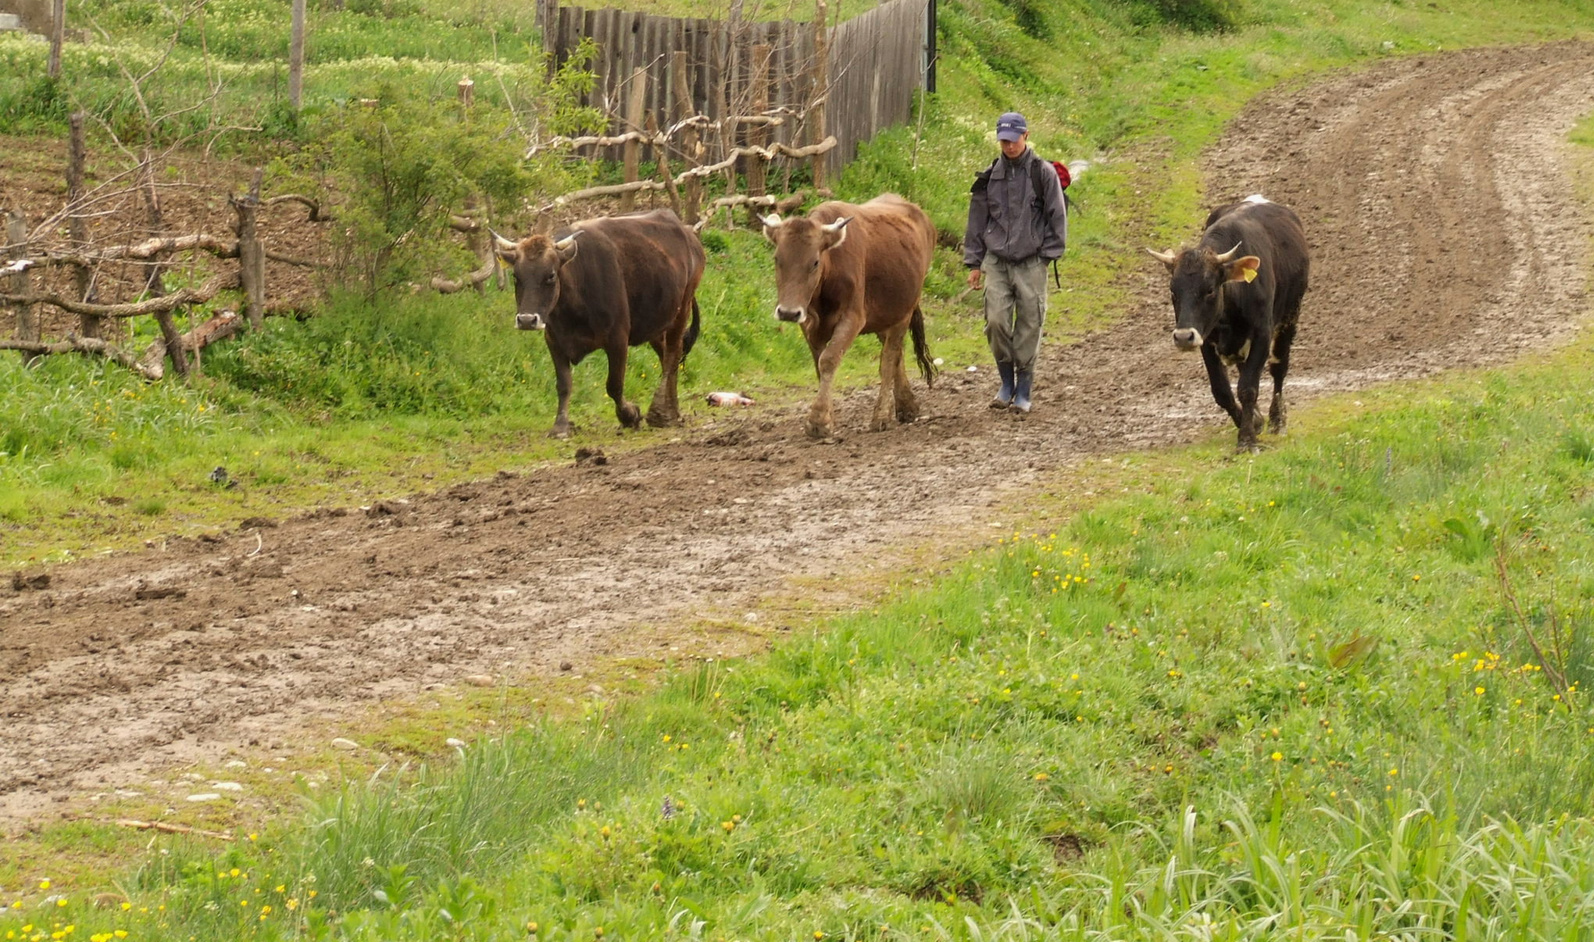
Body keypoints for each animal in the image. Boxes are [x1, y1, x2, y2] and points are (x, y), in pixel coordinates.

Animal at [494, 210, 701, 439]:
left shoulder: (618, 340)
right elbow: (563, 385)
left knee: (673, 354)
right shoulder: (554, 341)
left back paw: (661, 413)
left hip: (682, 307)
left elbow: (614, 385)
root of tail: (688, 234)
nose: (527, 320)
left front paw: (630, 415)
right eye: (516, 276)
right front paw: (560, 425)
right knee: (667, 356)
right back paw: (672, 411)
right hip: (657, 321)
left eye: (551, 275)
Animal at [758, 194, 930, 443]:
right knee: (896, 355)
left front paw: (818, 422)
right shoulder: (809, 324)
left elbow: (829, 360)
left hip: (904, 310)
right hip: (884, 316)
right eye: (777, 258)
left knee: (889, 358)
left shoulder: (853, 318)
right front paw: (827, 416)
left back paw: (881, 416)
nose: (788, 312)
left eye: (815, 262)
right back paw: (907, 406)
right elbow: (819, 364)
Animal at [1154, 193, 1313, 452]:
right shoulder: (1207, 340)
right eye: (1173, 291)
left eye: (1209, 289)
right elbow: (1222, 391)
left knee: (1279, 367)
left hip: (1290, 316)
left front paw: (1247, 439)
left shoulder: (1262, 334)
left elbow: (1248, 388)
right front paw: (1251, 424)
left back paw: (1278, 419)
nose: (1183, 337)